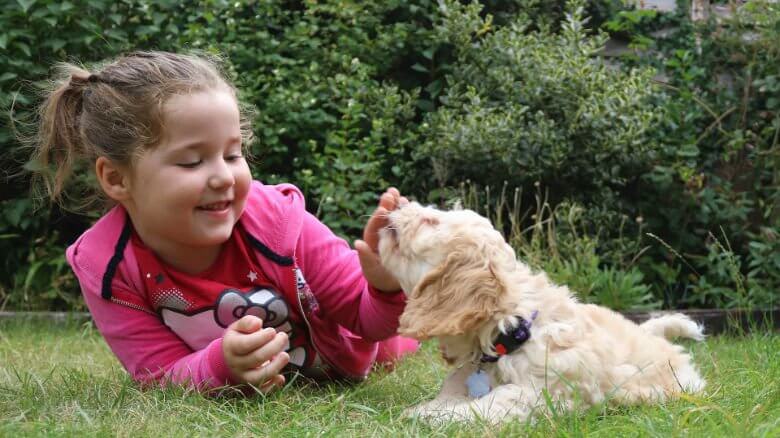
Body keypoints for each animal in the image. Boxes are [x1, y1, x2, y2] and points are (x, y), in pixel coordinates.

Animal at [380, 203, 708, 424]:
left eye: (430, 220)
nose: (397, 204)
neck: (511, 328)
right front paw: (430, 408)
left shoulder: (546, 393)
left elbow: (500, 399)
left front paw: (439, 417)